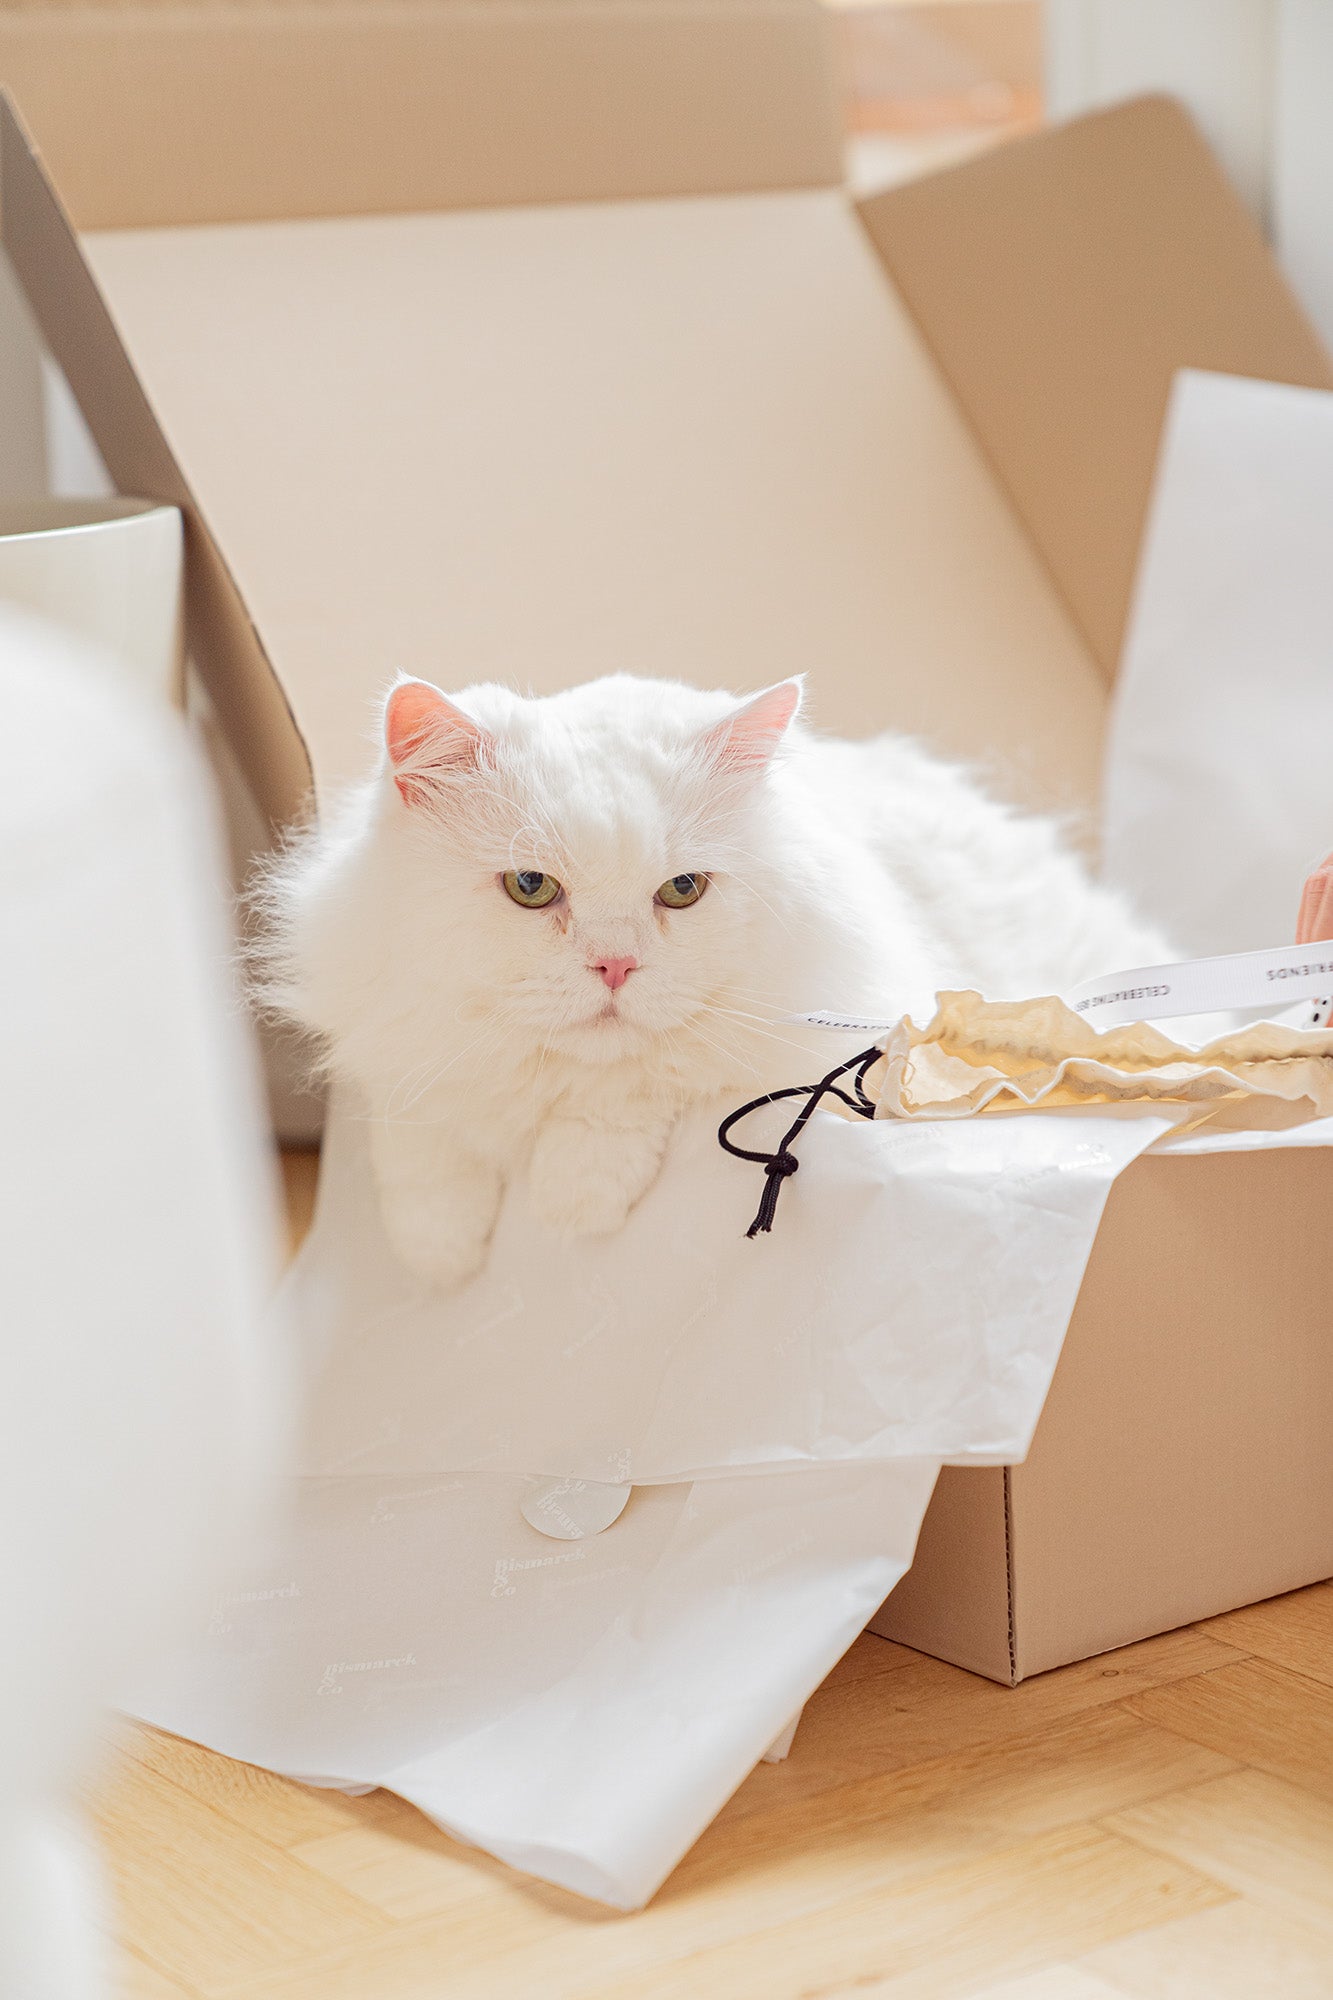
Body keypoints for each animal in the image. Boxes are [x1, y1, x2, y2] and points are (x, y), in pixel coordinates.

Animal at [262, 676, 1160, 1296]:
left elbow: (631, 1083)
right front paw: (439, 1259)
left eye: (683, 890)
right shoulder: (395, 1033)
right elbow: (420, 1146)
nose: (615, 967)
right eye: (529, 887)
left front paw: (570, 1205)